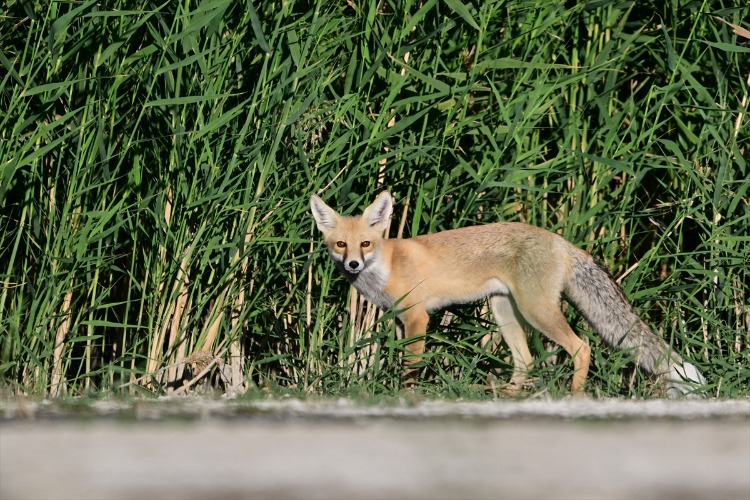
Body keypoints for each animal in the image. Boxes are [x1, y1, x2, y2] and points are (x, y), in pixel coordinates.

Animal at [308, 189, 708, 396]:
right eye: (341, 244)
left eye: (366, 243)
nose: (353, 265)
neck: (386, 265)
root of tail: (561, 241)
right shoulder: (397, 319)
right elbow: (397, 359)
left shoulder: (418, 317)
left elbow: (411, 367)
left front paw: (406, 396)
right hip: (504, 311)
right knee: (526, 362)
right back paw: (509, 394)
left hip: (535, 311)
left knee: (581, 347)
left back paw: (574, 395)